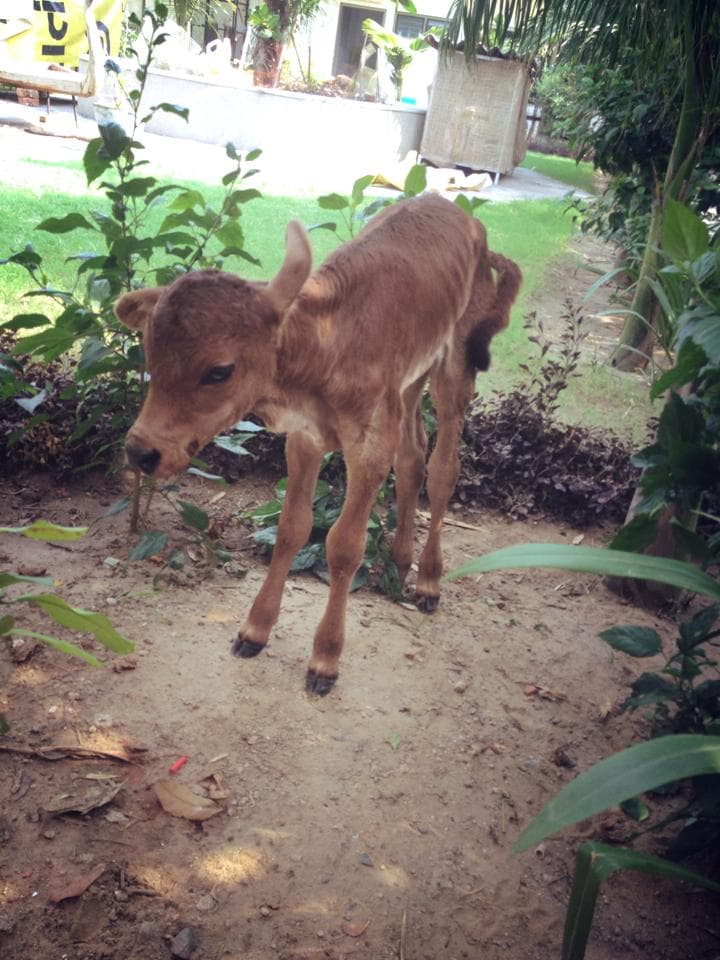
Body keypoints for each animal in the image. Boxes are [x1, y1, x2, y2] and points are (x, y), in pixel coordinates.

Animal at [114, 193, 522, 695]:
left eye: (219, 370)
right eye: (150, 353)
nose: (141, 452)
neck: (331, 341)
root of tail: (464, 216)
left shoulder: (368, 448)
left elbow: (344, 545)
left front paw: (325, 659)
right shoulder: (305, 440)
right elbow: (292, 527)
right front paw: (255, 630)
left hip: (454, 370)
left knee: (443, 467)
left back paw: (428, 581)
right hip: (410, 385)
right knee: (412, 456)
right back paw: (400, 563)